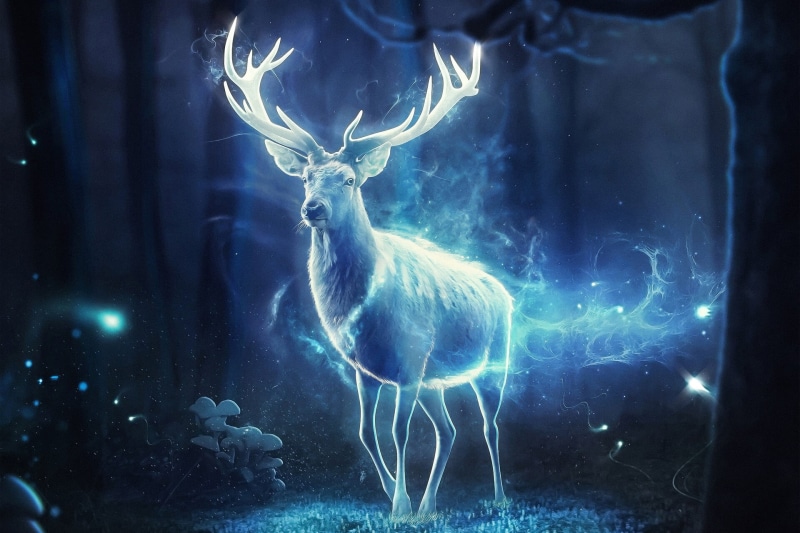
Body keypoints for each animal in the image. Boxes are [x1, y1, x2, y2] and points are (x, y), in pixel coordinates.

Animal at [223, 18, 512, 517]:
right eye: (305, 177)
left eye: (349, 179)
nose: (312, 208)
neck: (360, 310)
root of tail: (507, 294)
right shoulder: (365, 369)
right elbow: (365, 432)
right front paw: (396, 499)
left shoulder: (409, 360)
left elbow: (398, 433)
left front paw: (399, 508)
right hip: (436, 379)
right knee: (450, 430)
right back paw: (429, 507)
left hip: (494, 361)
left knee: (490, 427)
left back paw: (496, 498)